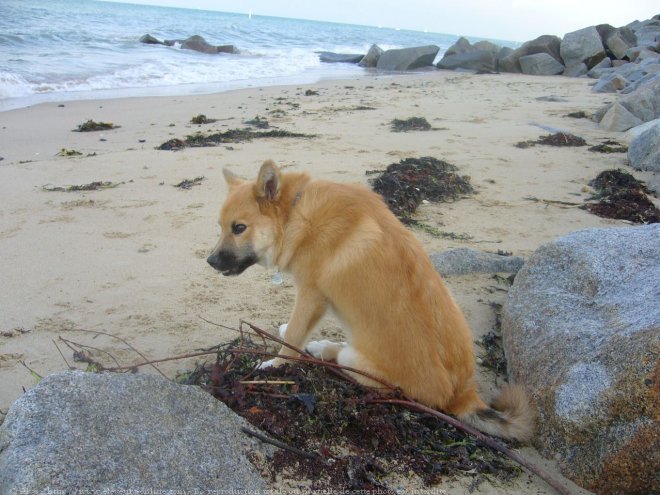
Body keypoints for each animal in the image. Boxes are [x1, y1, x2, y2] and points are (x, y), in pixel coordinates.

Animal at [209, 160, 532, 442]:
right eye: (221, 226)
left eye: (239, 228)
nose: (210, 261)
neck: (296, 212)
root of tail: (462, 394)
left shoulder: (311, 295)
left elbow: (294, 340)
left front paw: (274, 365)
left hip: (357, 361)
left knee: (342, 358)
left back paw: (323, 349)